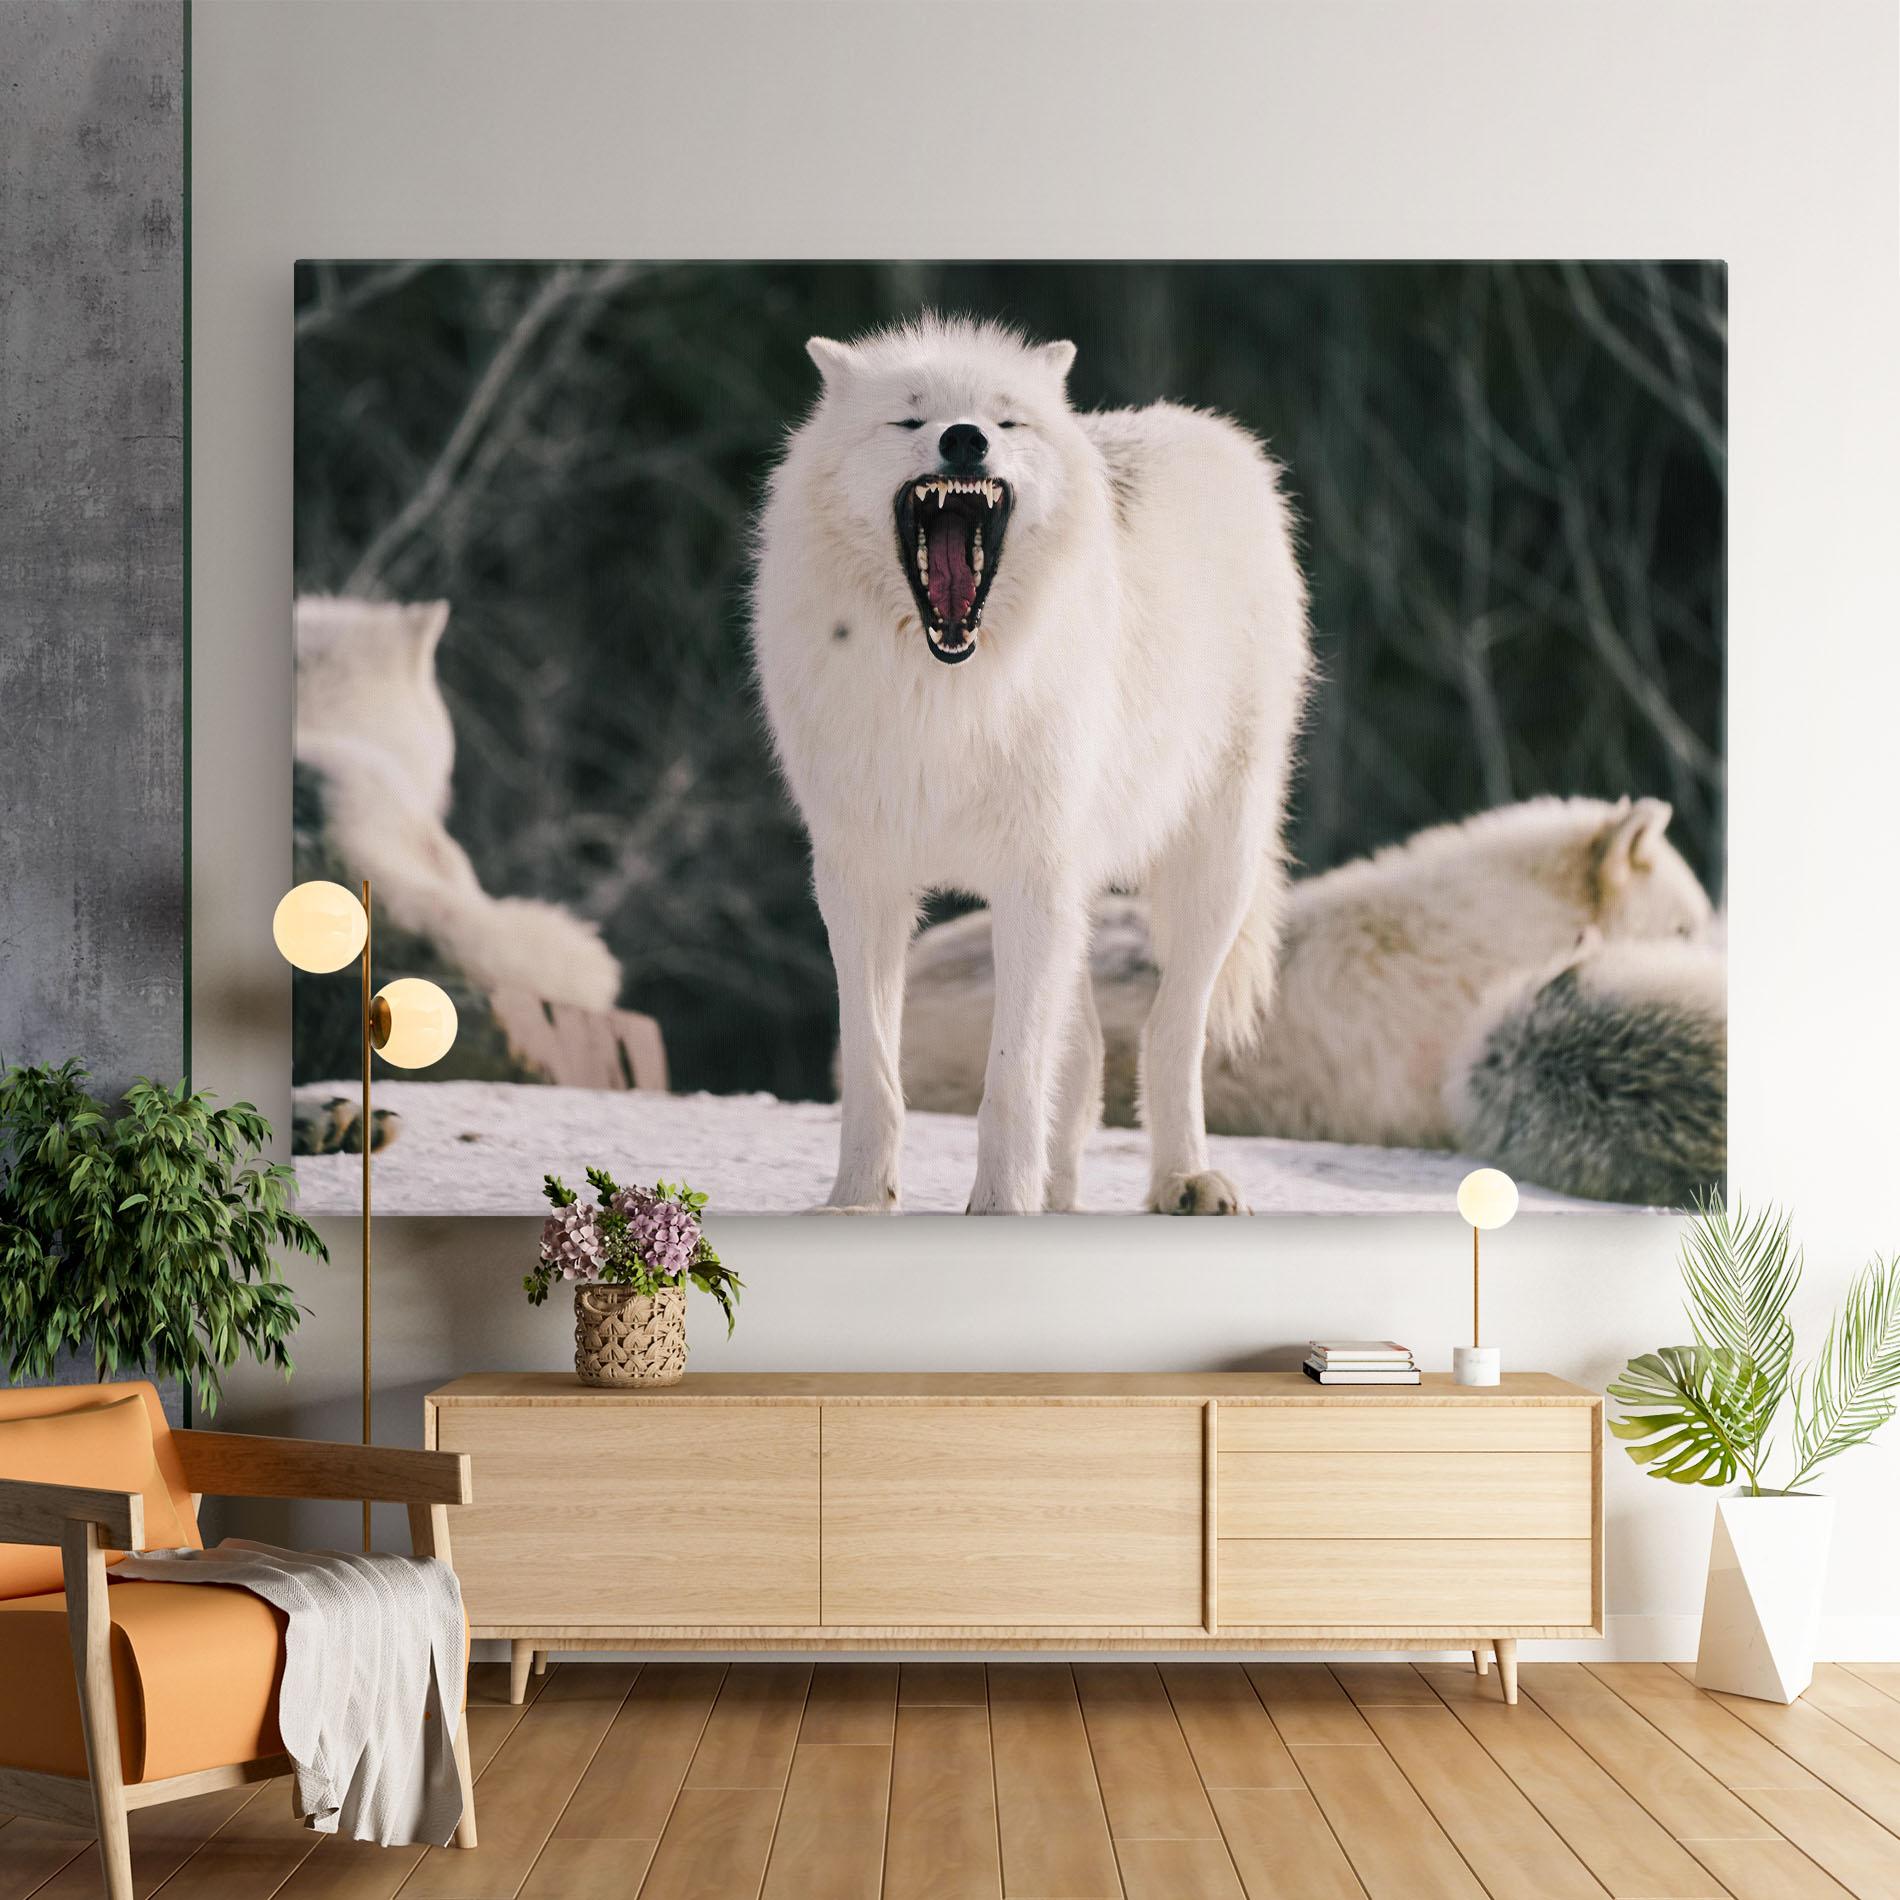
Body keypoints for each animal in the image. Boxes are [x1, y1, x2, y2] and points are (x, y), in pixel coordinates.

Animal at [751, 316, 1310, 1214]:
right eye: (910, 419)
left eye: (1006, 420)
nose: (965, 439)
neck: (946, 695)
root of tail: (1211, 432)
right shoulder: (860, 880)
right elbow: (874, 1069)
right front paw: (858, 1201)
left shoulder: (1030, 879)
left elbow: (1011, 1078)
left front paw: (999, 1205)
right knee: (1083, 1055)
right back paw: (1064, 1195)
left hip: (1211, 867)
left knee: (1169, 1031)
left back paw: (1185, 1178)